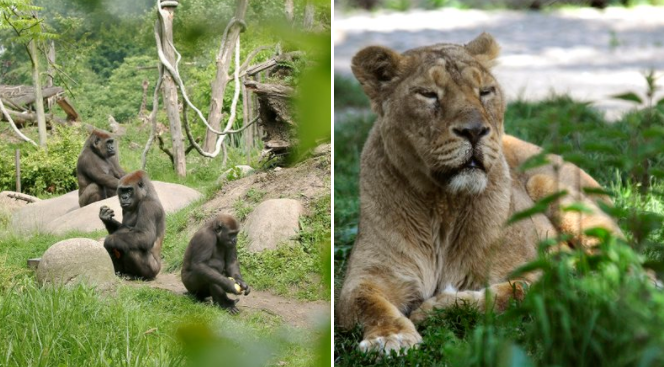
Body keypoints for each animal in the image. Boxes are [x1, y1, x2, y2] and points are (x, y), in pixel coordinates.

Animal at [338, 33, 624, 356]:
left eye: (485, 91)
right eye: (428, 94)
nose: (474, 131)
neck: (443, 206)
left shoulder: (545, 271)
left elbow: (510, 293)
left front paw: (436, 308)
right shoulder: (368, 275)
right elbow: (364, 303)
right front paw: (390, 337)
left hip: (553, 189)